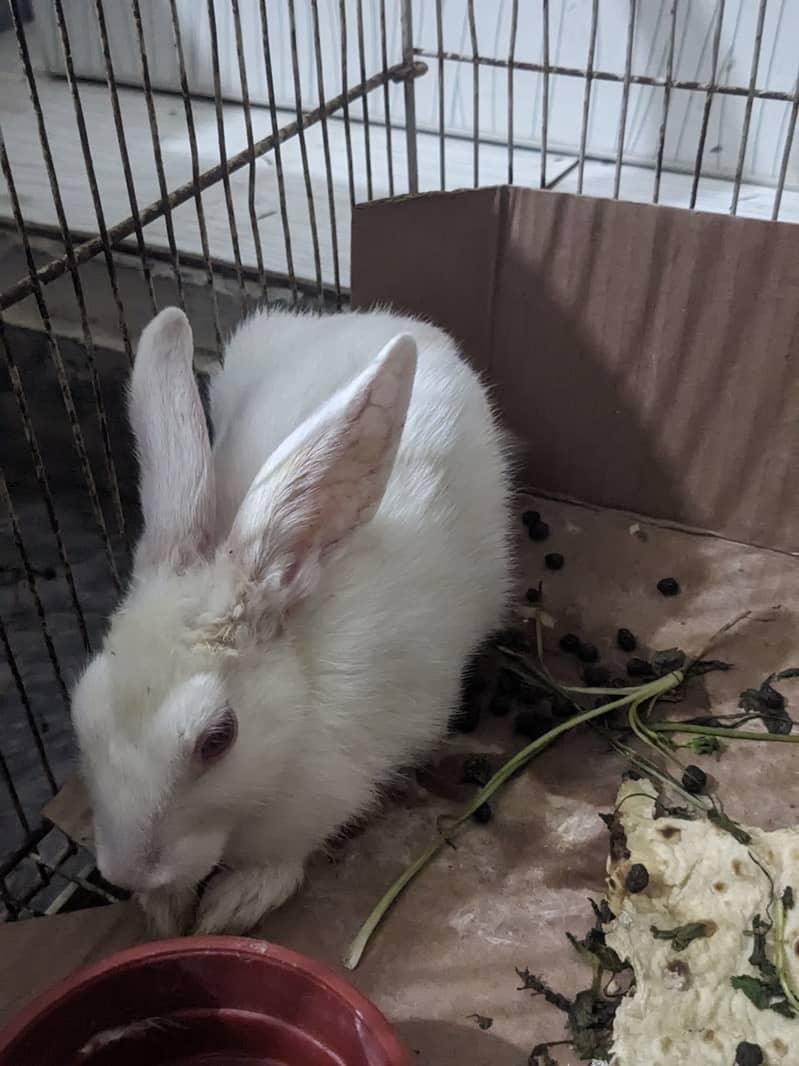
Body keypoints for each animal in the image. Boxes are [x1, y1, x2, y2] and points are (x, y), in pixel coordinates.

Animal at [70, 304, 512, 937]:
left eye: (218, 739)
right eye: (81, 711)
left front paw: (230, 907)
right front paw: (166, 910)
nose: (126, 872)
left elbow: (283, 859)